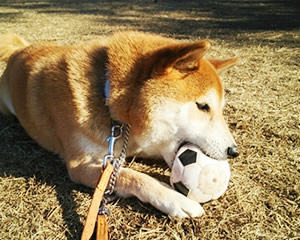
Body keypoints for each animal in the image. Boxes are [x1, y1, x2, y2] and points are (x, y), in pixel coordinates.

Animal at [0, 31, 239, 218]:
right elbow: (132, 175)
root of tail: (20, 49)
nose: (234, 151)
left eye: (221, 109)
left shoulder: (139, 145)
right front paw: (174, 199)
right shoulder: (81, 166)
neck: (108, 99)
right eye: (203, 106)